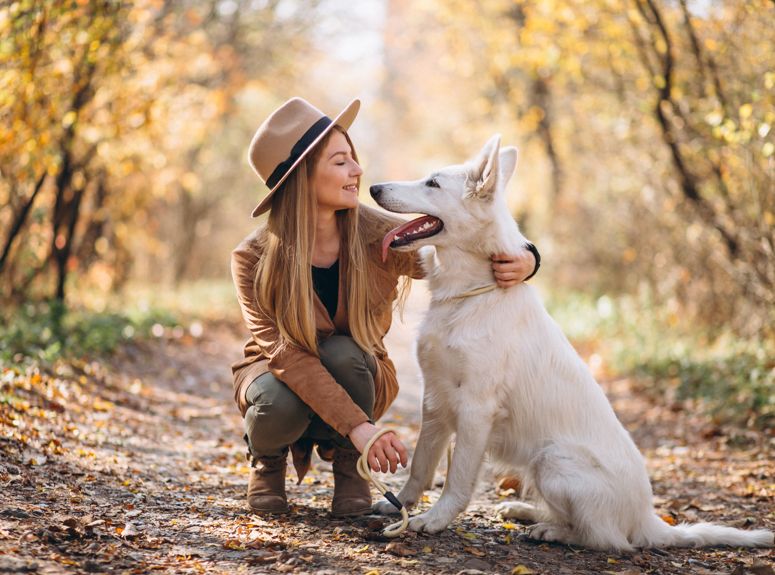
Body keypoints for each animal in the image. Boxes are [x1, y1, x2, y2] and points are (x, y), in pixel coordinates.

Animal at [366, 135, 772, 552]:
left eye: (432, 183)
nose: (373, 188)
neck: (472, 293)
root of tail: (648, 519)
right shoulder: (435, 401)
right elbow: (420, 465)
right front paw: (400, 505)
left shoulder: (475, 409)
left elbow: (458, 479)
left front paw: (434, 519)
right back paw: (525, 511)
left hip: (553, 459)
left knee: (605, 539)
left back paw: (550, 530)